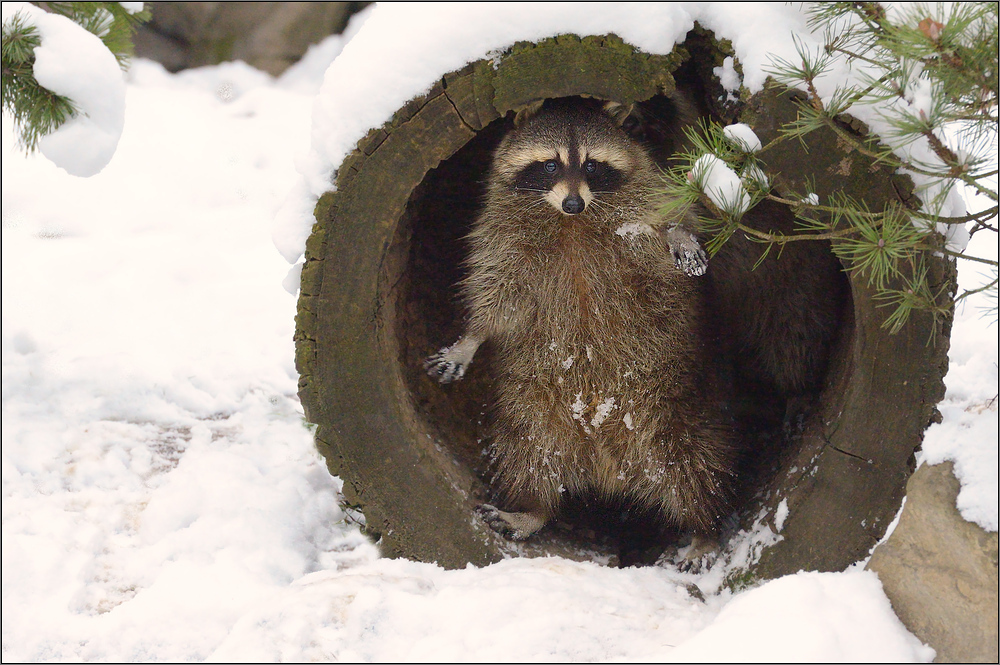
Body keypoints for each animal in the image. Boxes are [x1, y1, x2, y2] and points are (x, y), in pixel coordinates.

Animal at [422, 96, 736, 548]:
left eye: (591, 165)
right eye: (550, 165)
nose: (574, 204)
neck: (570, 221)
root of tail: (607, 463)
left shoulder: (643, 188)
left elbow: (670, 212)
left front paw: (678, 233)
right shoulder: (501, 233)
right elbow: (498, 290)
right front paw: (472, 337)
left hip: (674, 405)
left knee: (691, 462)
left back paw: (703, 528)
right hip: (533, 399)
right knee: (530, 449)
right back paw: (533, 509)